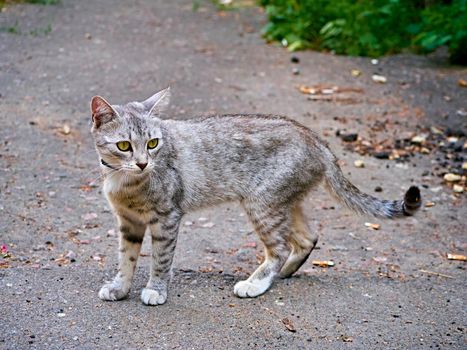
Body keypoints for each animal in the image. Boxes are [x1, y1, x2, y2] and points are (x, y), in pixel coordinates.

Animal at [89, 88, 422, 306]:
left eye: (153, 143)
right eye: (124, 146)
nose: (143, 163)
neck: (125, 183)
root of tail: (317, 139)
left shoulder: (167, 218)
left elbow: (160, 259)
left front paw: (156, 290)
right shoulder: (129, 222)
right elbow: (126, 258)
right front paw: (119, 287)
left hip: (262, 205)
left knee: (280, 248)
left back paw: (256, 283)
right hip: (283, 203)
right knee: (307, 238)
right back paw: (282, 275)